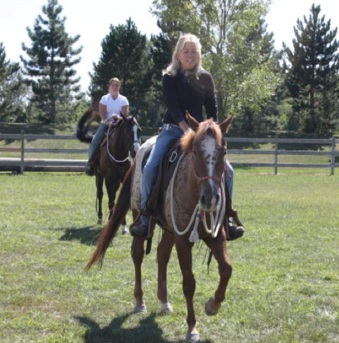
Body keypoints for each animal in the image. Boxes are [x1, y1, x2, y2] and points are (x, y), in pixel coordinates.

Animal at [85, 114, 234, 342]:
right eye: (196, 151)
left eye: (223, 151)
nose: (210, 199)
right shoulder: (183, 240)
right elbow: (189, 282)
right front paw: (192, 328)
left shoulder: (216, 235)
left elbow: (226, 269)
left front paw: (212, 306)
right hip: (138, 213)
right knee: (138, 254)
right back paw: (140, 301)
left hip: (170, 230)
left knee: (162, 254)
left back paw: (164, 302)